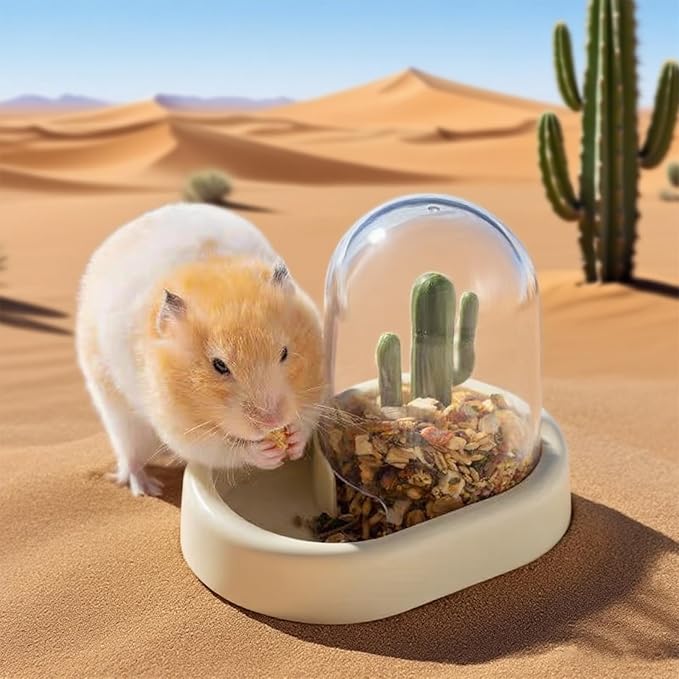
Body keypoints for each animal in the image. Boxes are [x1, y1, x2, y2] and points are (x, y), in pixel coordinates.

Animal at [76, 203, 326, 496]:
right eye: (219, 366)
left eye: (284, 353)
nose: (272, 422)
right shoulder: (183, 429)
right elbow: (223, 449)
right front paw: (265, 453)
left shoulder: (317, 390)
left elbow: (307, 418)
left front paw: (294, 439)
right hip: (116, 409)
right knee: (130, 454)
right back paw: (147, 488)